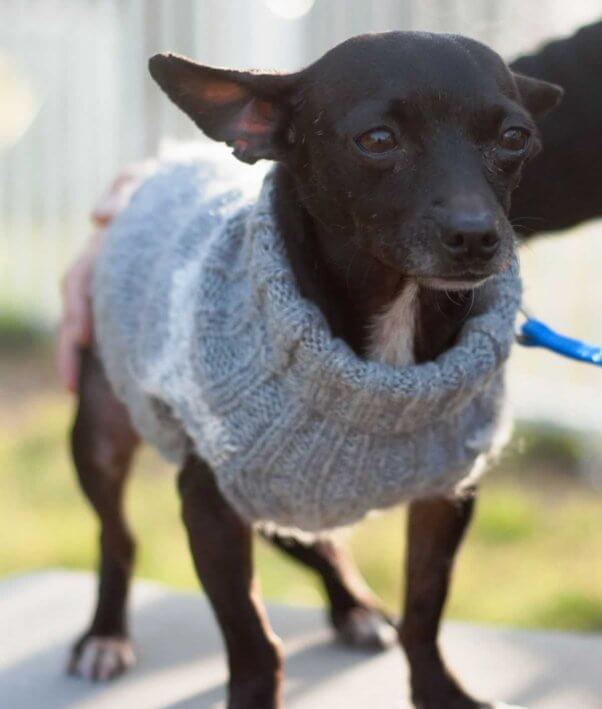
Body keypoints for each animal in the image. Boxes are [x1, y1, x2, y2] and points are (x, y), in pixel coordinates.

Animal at [68, 33, 560, 708]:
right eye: (377, 139)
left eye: (516, 138)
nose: (477, 235)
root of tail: (162, 164)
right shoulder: (211, 504)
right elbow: (252, 641)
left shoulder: (445, 497)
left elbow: (425, 609)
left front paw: (442, 693)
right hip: (101, 435)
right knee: (117, 536)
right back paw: (105, 634)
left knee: (309, 536)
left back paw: (353, 607)